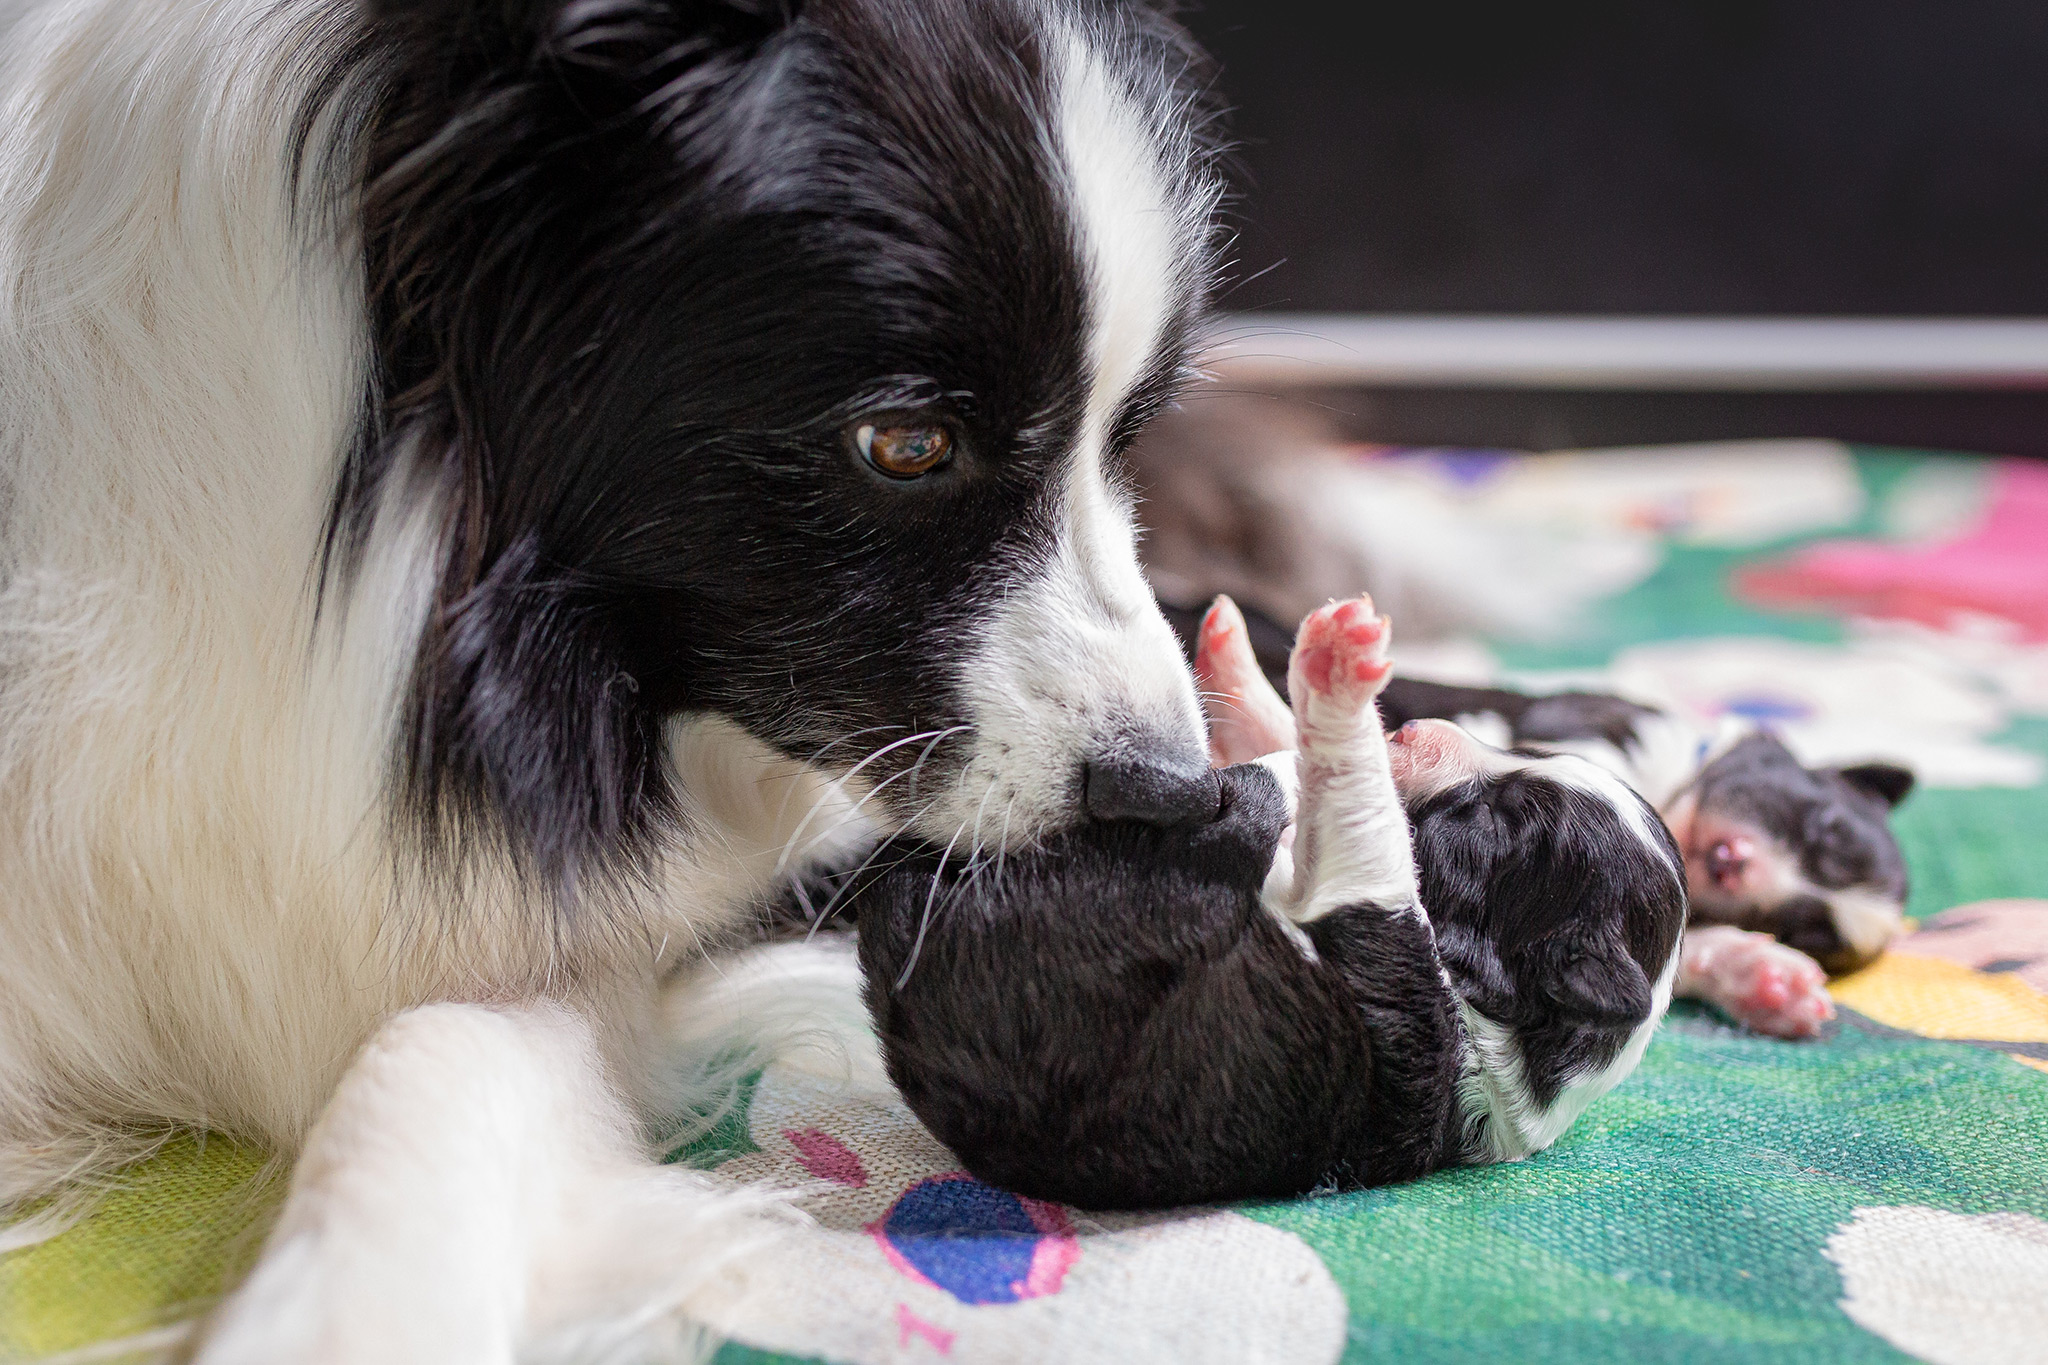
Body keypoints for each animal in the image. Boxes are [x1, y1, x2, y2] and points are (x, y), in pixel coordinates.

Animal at [856, 597, 1687, 1203]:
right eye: (1535, 752)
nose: (1417, 725)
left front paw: (1339, 672)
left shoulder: (1384, 949)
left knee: (1231, 810)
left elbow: (1363, 820)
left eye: (1497, 820)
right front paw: (1245, 654)